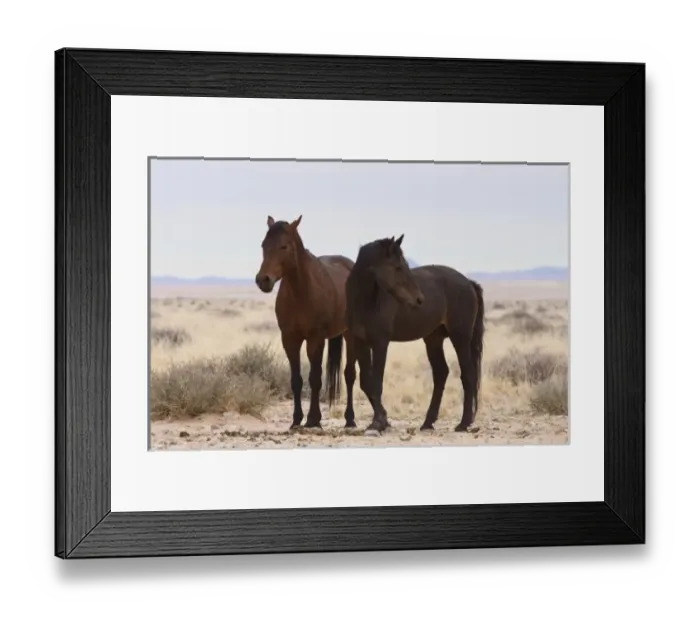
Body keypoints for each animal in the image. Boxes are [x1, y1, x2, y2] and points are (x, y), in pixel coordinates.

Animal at [254, 215, 360, 430]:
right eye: (263, 245)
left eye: (284, 246)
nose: (263, 280)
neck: (300, 293)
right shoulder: (289, 339)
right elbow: (296, 380)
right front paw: (296, 420)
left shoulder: (315, 339)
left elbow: (315, 378)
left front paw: (313, 420)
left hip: (350, 335)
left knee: (349, 375)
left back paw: (350, 419)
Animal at [345, 235, 485, 434]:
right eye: (398, 267)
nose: (419, 299)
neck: (366, 301)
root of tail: (469, 283)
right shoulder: (360, 342)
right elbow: (367, 382)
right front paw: (383, 420)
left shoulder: (380, 343)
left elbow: (377, 381)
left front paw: (378, 423)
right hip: (433, 339)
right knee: (441, 373)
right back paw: (428, 422)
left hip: (460, 338)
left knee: (468, 374)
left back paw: (463, 423)